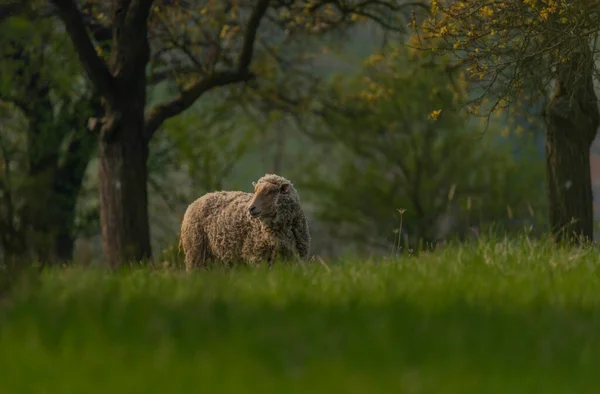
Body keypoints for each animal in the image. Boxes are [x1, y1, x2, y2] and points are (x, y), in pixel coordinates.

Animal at [178, 173, 310, 270]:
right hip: (195, 253)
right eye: (255, 191)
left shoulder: (291, 260)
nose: (251, 208)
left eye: (271, 191)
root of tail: (196, 201)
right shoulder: (256, 257)